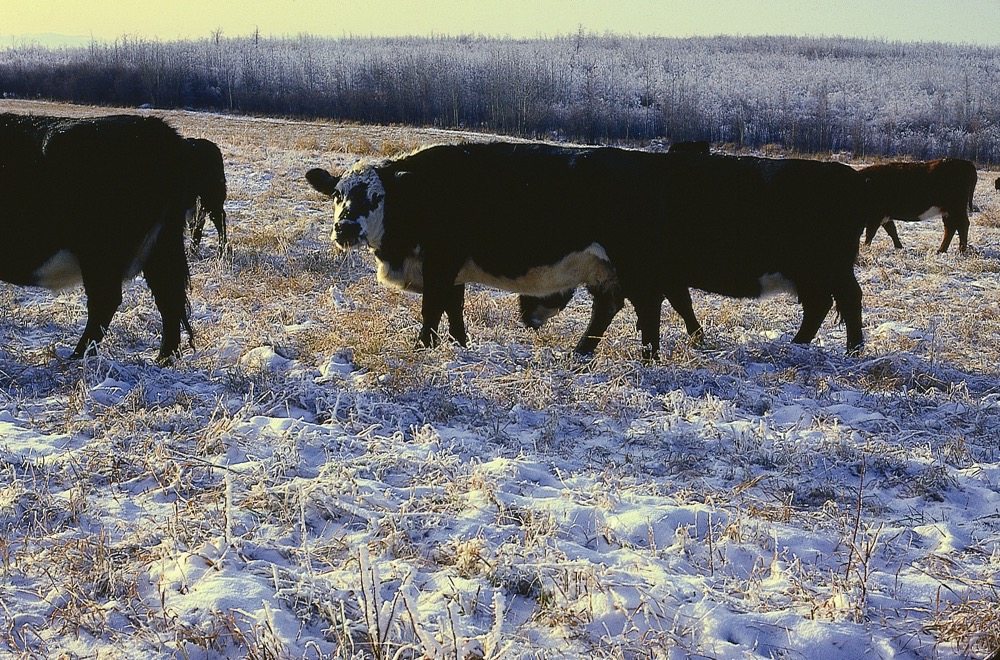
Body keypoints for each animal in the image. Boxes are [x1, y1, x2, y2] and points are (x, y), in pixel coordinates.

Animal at [0, 113, 195, 364]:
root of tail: (157, 127)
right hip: (161, 248)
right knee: (168, 299)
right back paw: (163, 359)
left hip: (101, 252)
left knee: (105, 301)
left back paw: (78, 356)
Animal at [517, 151, 881, 359]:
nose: (525, 316)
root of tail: (854, 177)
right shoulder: (666, 275)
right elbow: (682, 304)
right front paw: (698, 339)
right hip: (815, 273)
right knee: (822, 305)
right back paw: (799, 344)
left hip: (828, 268)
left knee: (846, 299)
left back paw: (852, 348)